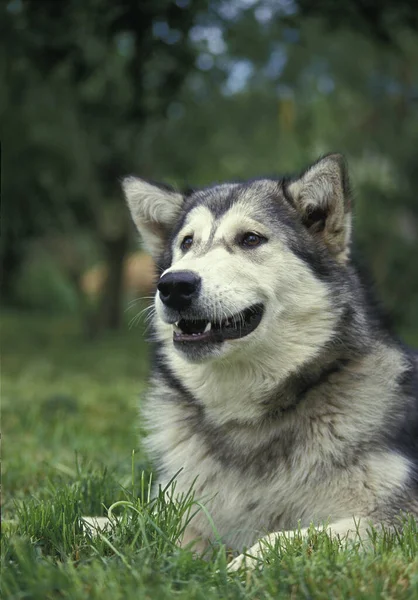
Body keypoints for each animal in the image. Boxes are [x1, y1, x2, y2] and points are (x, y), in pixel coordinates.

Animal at [121, 154, 418, 568]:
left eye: (250, 239)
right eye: (187, 243)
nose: (174, 285)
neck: (245, 419)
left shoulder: (396, 520)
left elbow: (283, 538)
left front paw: (240, 566)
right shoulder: (183, 506)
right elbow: (134, 523)